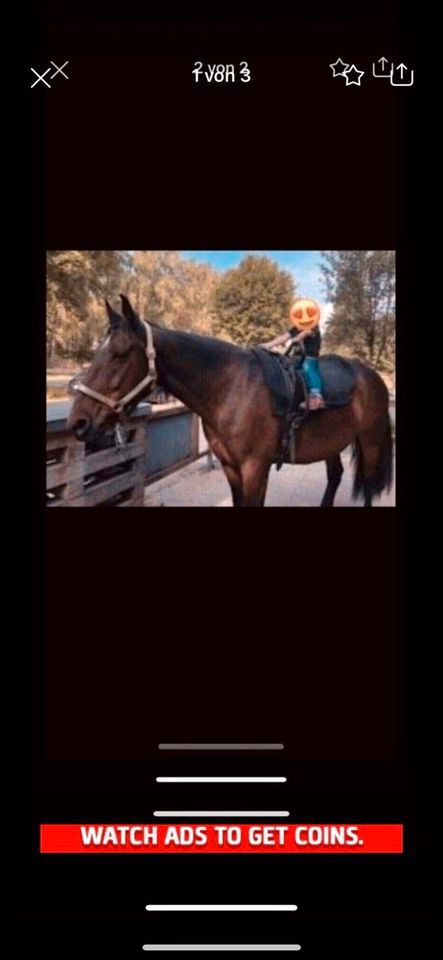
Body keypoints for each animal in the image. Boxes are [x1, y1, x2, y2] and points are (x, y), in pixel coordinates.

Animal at [67, 294, 394, 506]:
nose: (78, 422)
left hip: (370, 441)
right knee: (335, 476)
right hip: (331, 442)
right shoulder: (230, 467)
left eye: (120, 353)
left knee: (367, 487)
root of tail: (374, 378)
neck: (230, 388)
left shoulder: (255, 468)